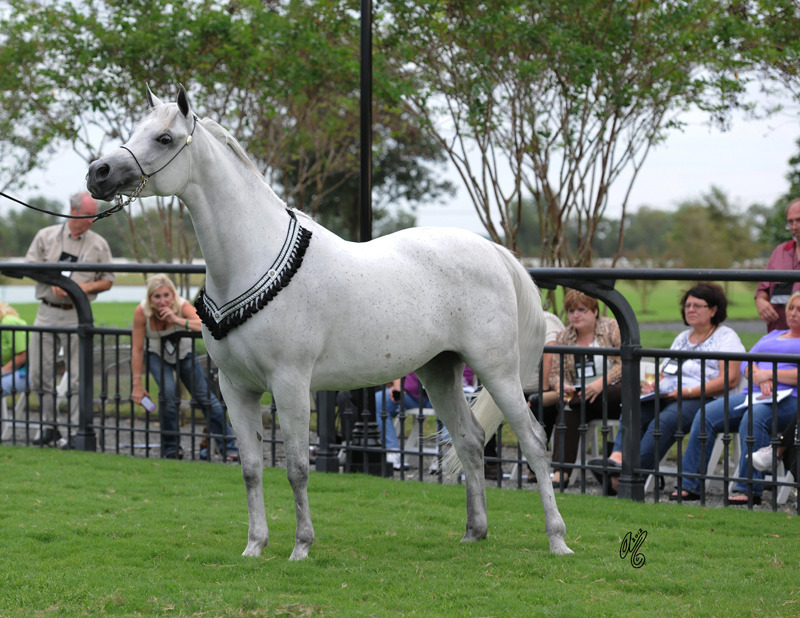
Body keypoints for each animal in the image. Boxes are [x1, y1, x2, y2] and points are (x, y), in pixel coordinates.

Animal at [86, 85, 572, 560]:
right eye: (135, 131)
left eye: (164, 138)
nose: (98, 173)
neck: (255, 257)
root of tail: (492, 251)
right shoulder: (235, 387)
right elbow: (251, 468)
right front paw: (254, 545)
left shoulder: (290, 384)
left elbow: (298, 468)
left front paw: (301, 546)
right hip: (440, 370)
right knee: (470, 440)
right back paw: (475, 532)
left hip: (496, 369)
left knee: (533, 441)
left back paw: (557, 539)